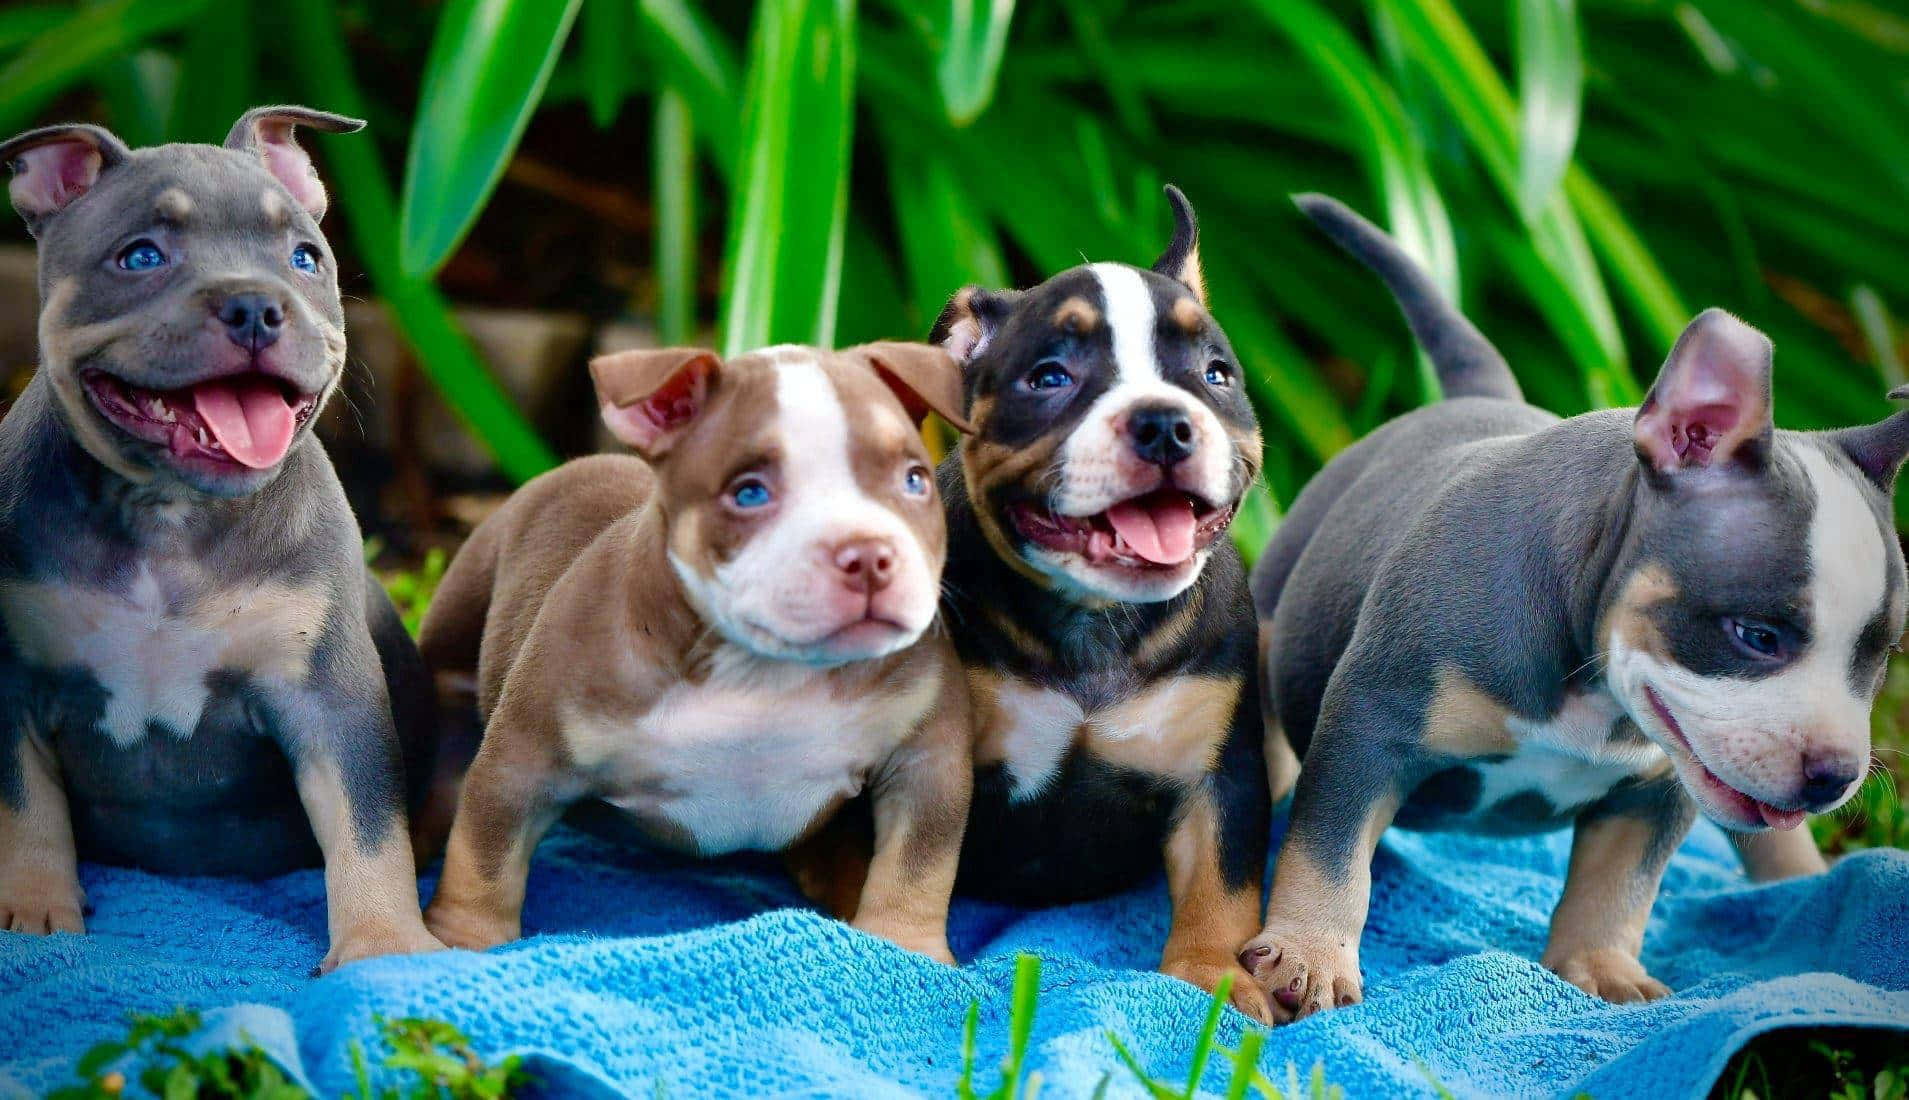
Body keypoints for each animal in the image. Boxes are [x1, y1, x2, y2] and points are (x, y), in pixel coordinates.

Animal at [0, 109, 442, 970]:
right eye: (141, 256)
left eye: (304, 259)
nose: (254, 307)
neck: (170, 513)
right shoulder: (12, 679)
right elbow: (24, 807)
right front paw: (31, 912)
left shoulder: (328, 695)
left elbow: (368, 824)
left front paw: (383, 945)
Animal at [423, 339, 977, 958]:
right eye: (749, 492)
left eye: (915, 480)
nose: (869, 555)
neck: (762, 672)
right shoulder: (526, 756)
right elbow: (485, 850)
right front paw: (461, 941)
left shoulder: (927, 752)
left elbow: (918, 860)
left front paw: (904, 948)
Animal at [927, 190, 1275, 1023]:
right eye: (1049, 376)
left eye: (1215, 375)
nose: (1164, 422)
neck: (1094, 618)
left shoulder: (1221, 773)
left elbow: (1222, 881)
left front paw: (1211, 976)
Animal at [1237, 195, 1909, 1023]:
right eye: (1756, 636)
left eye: (1879, 655)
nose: (1835, 776)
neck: (1592, 670)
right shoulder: (1370, 726)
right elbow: (1330, 852)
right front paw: (1307, 956)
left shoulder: (1657, 787)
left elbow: (1616, 882)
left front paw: (1599, 968)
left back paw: (1802, 885)